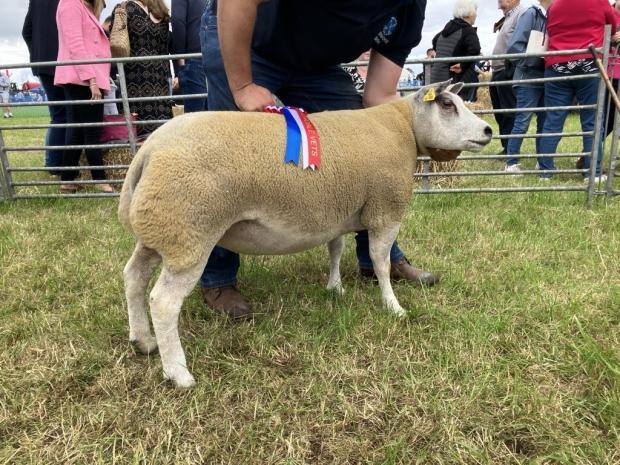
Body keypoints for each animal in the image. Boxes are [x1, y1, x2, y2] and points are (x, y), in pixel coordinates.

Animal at [118, 80, 492, 388]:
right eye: (447, 105)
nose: (489, 130)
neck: (404, 127)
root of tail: (149, 149)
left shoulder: (337, 211)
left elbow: (336, 248)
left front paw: (335, 287)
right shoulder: (385, 210)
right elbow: (380, 262)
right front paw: (393, 306)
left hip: (160, 229)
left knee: (134, 276)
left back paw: (143, 341)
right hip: (190, 233)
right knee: (163, 302)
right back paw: (178, 373)